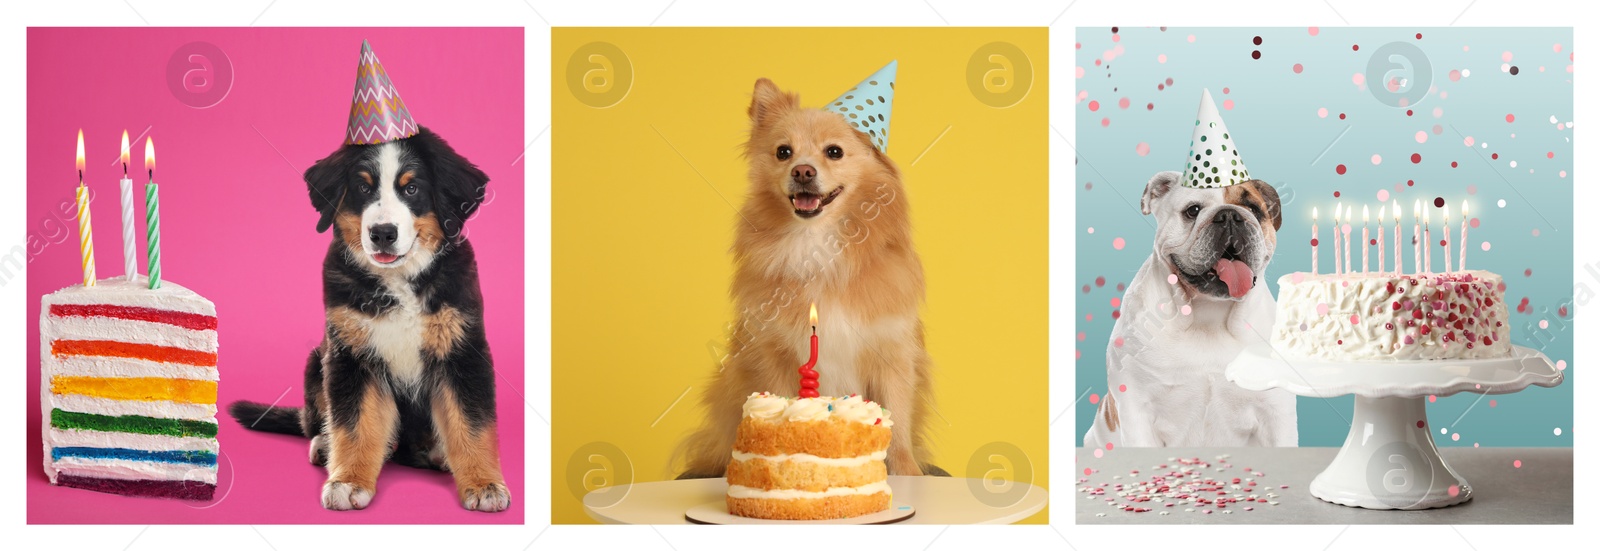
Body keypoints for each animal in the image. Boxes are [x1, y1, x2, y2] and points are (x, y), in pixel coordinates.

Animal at [227, 127, 505, 515]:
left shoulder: (462, 349)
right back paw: (325, 445)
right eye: (363, 187)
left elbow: (471, 423)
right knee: (317, 422)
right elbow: (356, 425)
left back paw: (436, 452)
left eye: (411, 189)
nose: (383, 233)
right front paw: (348, 480)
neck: (398, 281)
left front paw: (483, 484)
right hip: (317, 361)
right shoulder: (352, 355)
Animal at [672, 77, 934, 477]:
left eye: (834, 152)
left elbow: (899, 420)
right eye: (783, 152)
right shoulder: (774, 354)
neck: (816, 243)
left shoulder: (892, 353)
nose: (802, 171)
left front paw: (906, 471)